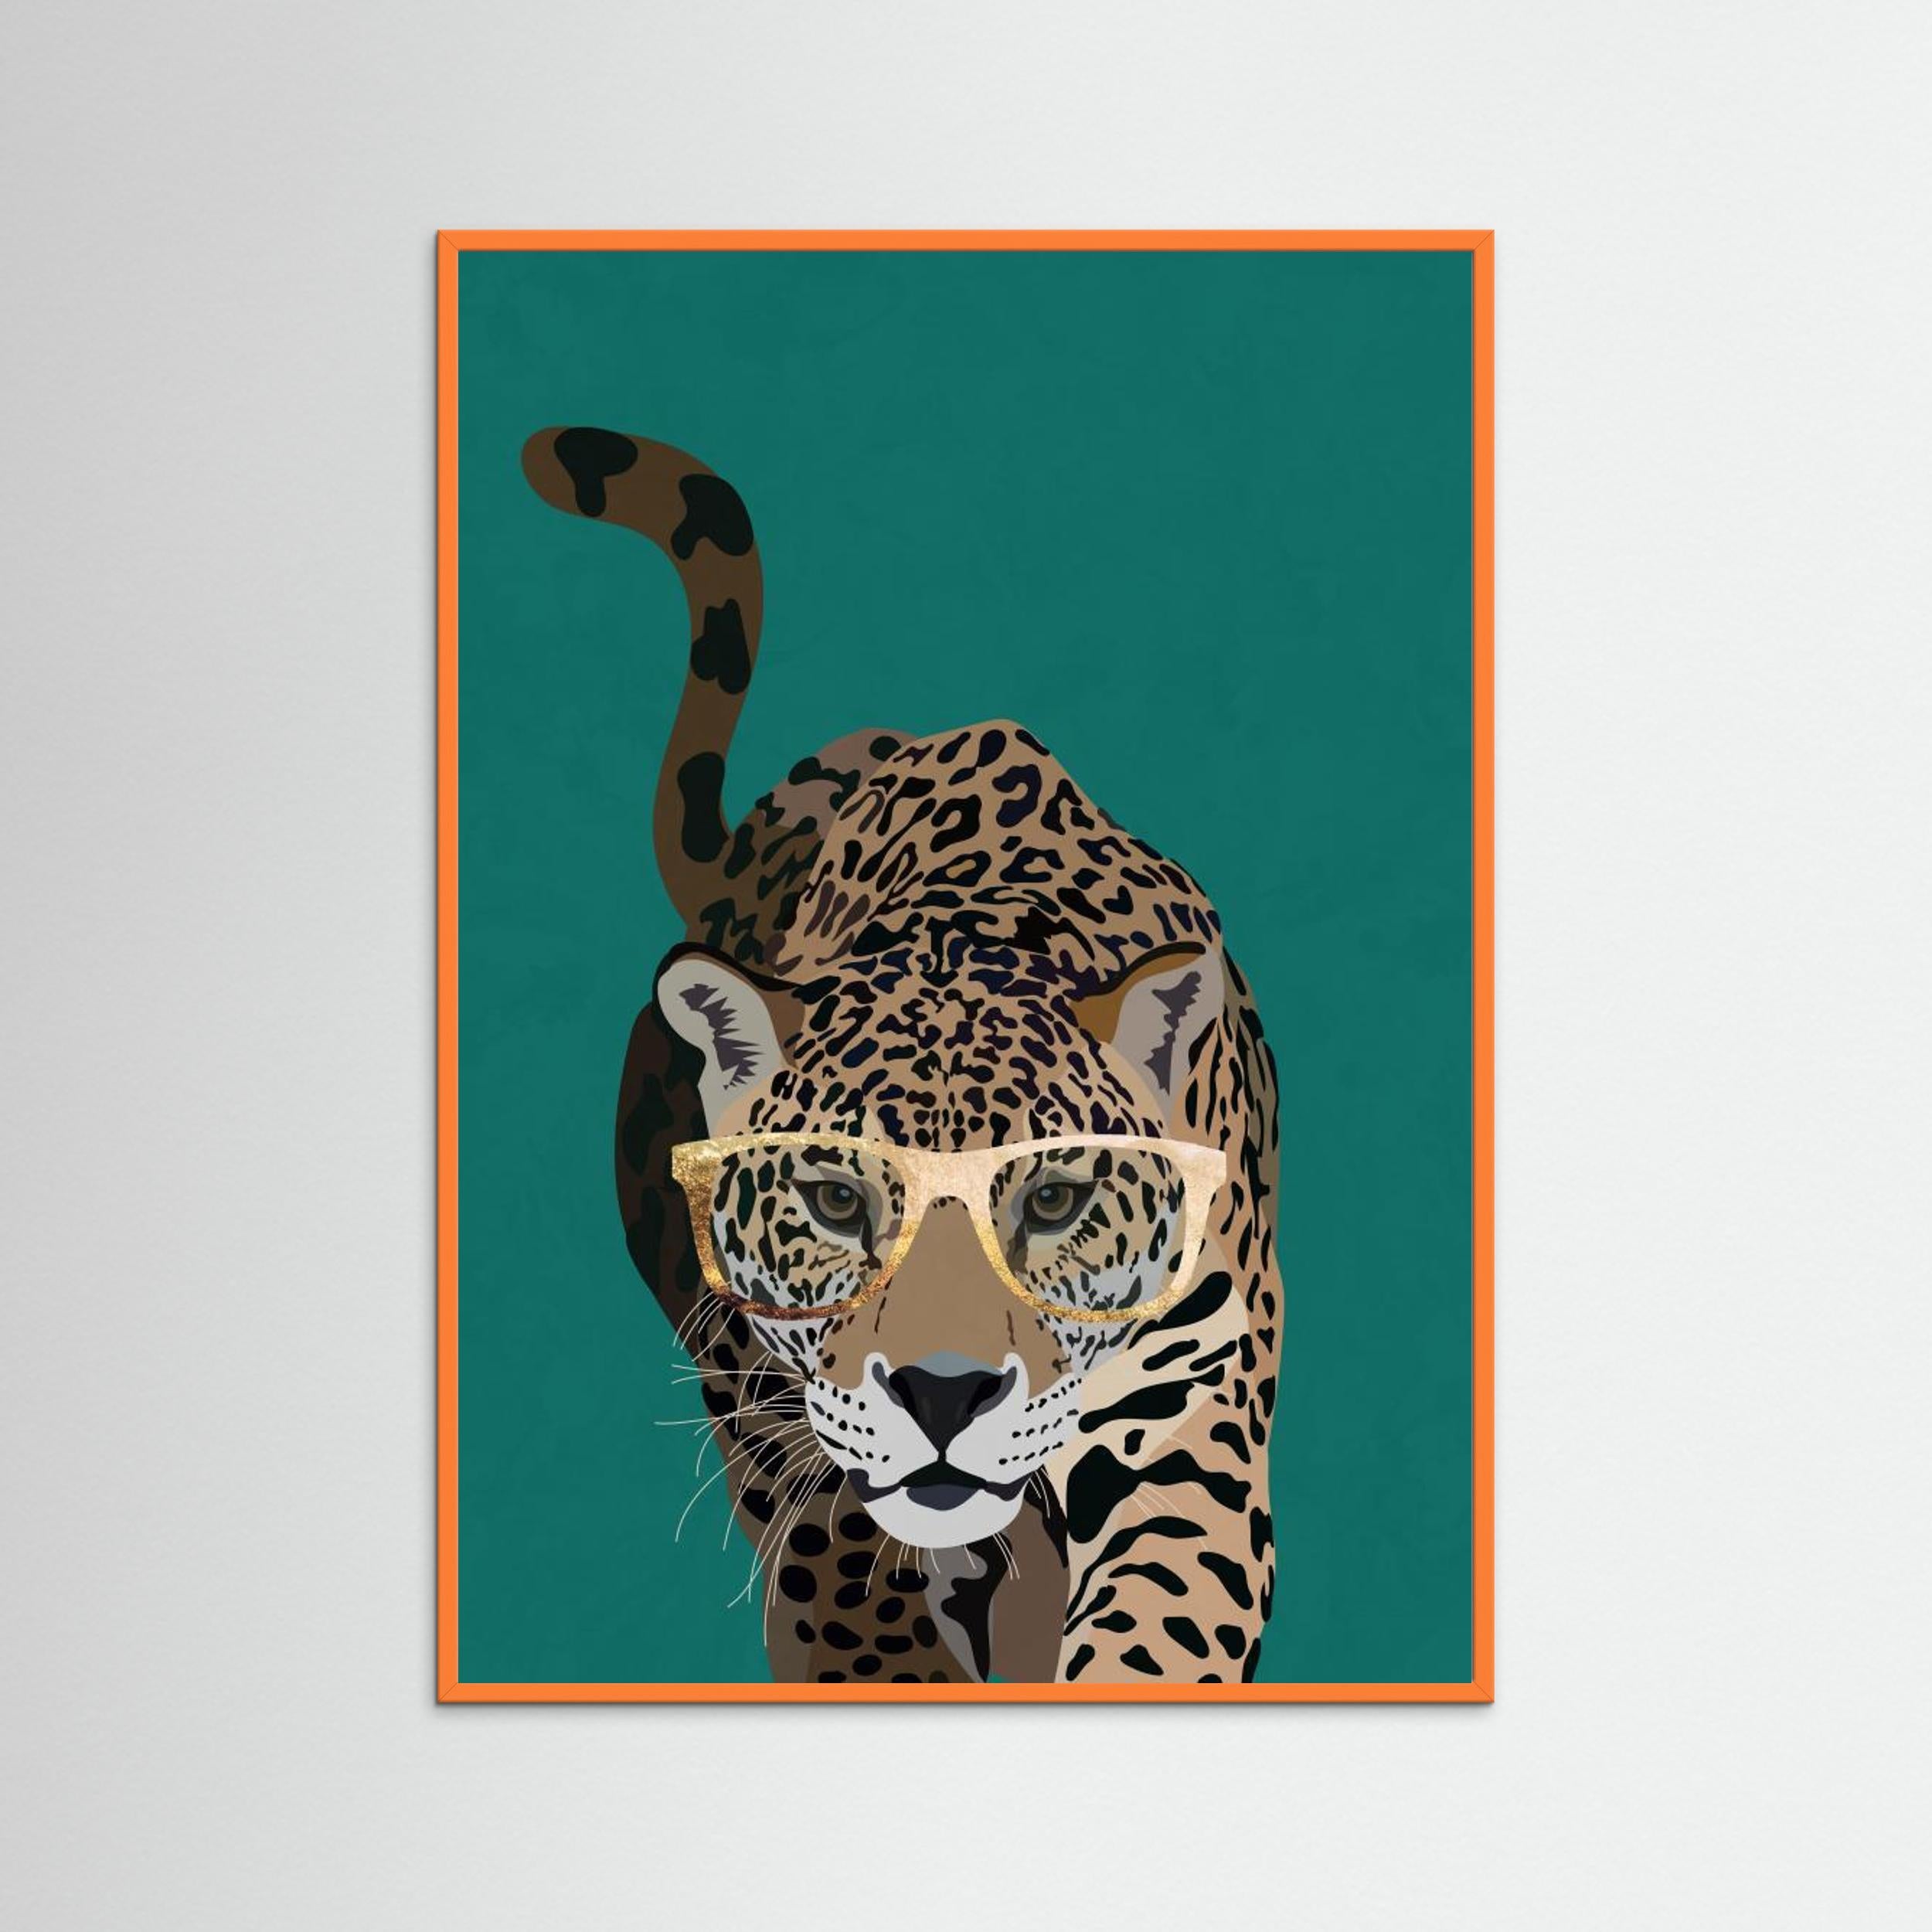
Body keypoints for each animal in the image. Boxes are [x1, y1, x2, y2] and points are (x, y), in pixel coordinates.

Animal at [521, 424, 1283, 1685]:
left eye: (1056, 1200)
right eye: (835, 1200)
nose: (944, 1393)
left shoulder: (1190, 1409)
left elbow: (1161, 1625)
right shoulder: (785, 1419)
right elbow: (850, 1593)